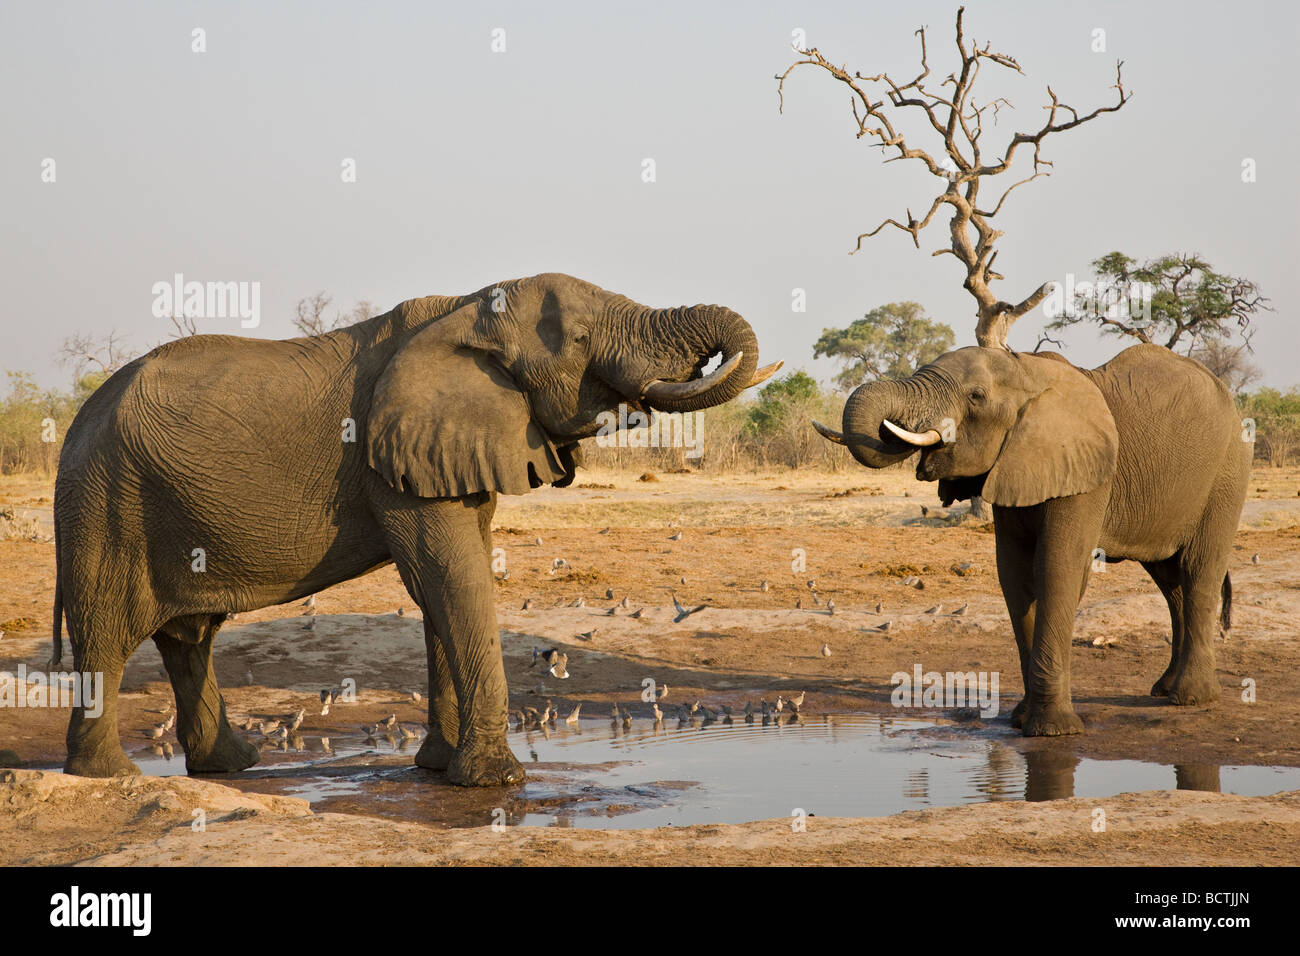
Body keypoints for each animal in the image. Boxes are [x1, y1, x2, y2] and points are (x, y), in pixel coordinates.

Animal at [53, 270, 780, 785]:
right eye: (577, 339)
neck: (468, 306)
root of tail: (78, 421)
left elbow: (448, 582)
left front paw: (438, 768)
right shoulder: (391, 458)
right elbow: (448, 575)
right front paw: (496, 783)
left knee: (188, 638)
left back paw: (231, 767)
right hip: (106, 504)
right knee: (109, 635)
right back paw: (110, 777)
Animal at [811, 345, 1248, 738]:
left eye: (976, 396)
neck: (1026, 370)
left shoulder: (1086, 475)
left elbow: (1056, 569)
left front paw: (1051, 730)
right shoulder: (1012, 465)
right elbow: (1014, 575)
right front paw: (1021, 719)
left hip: (1227, 473)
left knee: (1198, 573)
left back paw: (1192, 698)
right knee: (1170, 582)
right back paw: (1164, 689)